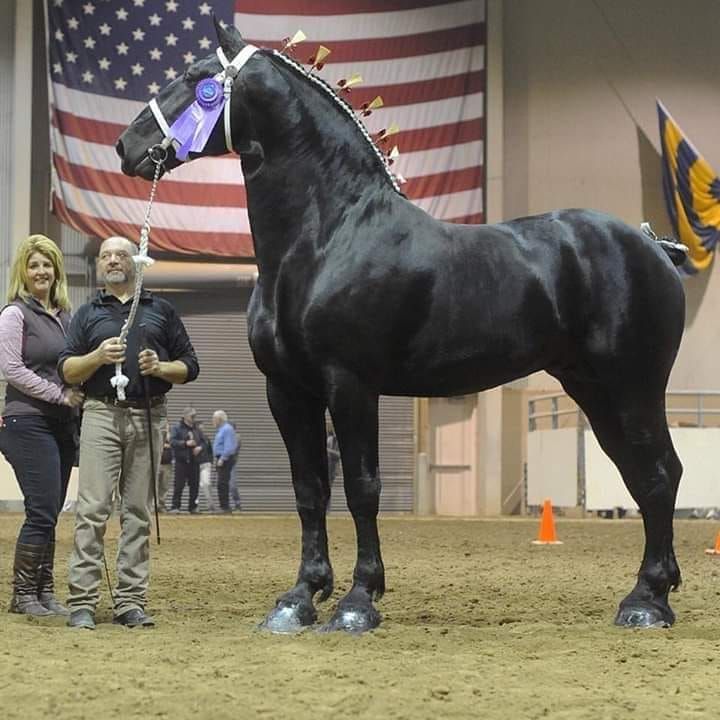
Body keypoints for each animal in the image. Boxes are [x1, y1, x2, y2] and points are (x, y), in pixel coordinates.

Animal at [118, 21, 688, 632]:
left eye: (196, 77)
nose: (125, 146)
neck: (328, 236)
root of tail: (653, 245)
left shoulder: (350, 385)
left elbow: (362, 488)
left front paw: (357, 601)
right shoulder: (287, 390)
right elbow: (308, 490)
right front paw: (299, 598)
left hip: (633, 388)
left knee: (659, 475)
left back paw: (647, 602)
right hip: (593, 390)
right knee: (643, 476)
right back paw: (654, 592)